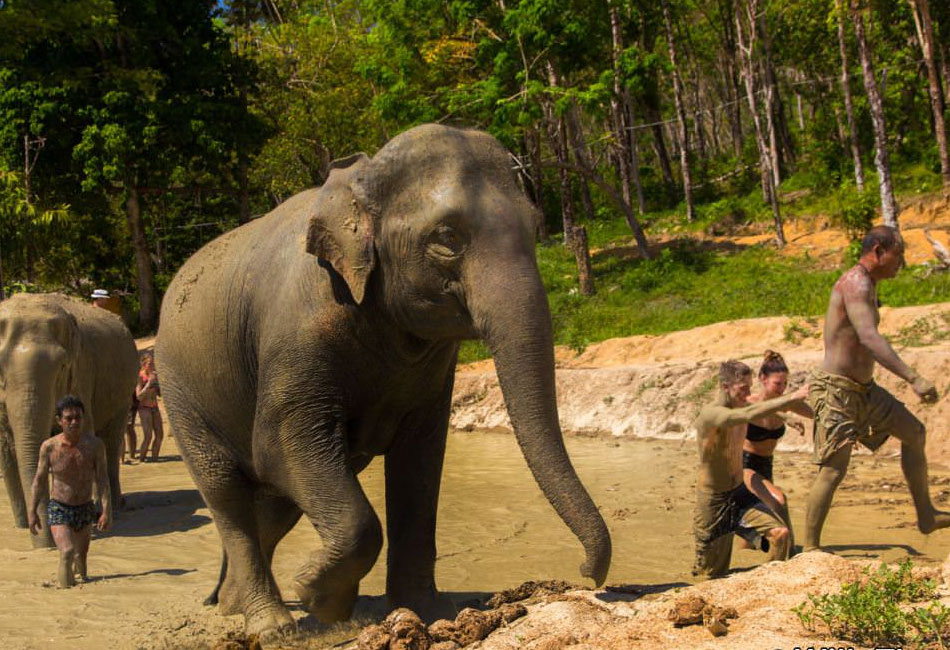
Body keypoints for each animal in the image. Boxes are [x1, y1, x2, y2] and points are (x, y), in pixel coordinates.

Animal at [0, 292, 139, 544]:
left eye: (62, 366)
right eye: (0, 368)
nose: (45, 546)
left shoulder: (82, 369)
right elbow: (5, 449)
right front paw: (22, 525)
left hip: (124, 395)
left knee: (111, 442)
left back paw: (112, 508)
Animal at [156, 124, 612, 636]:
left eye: (536, 226)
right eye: (447, 237)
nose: (588, 575)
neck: (360, 177)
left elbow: (420, 461)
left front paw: (423, 611)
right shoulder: (296, 334)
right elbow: (278, 447)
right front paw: (320, 598)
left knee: (274, 505)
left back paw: (232, 605)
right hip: (180, 392)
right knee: (228, 493)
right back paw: (272, 627)